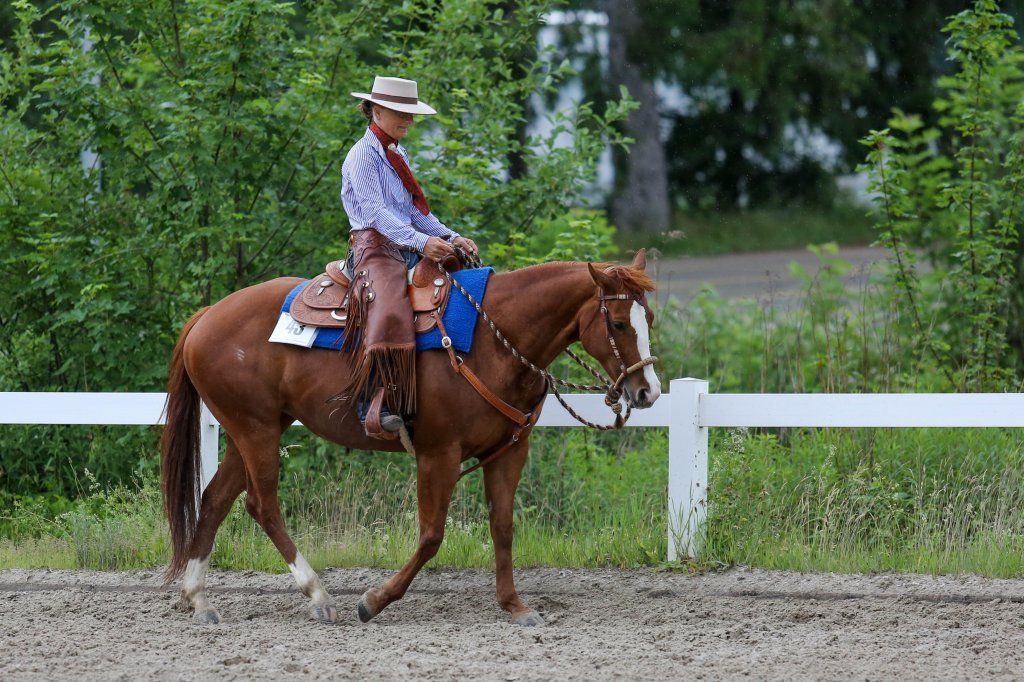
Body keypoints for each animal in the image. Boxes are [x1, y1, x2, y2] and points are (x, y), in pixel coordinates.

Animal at [161, 248, 660, 627]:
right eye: (618, 323)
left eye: (649, 317)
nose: (647, 391)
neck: (493, 341)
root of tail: (207, 315)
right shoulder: (438, 454)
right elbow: (432, 536)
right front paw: (374, 601)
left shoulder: (510, 451)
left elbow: (502, 527)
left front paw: (515, 606)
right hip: (256, 429)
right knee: (261, 505)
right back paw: (318, 595)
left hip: (253, 428)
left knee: (215, 499)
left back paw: (200, 600)